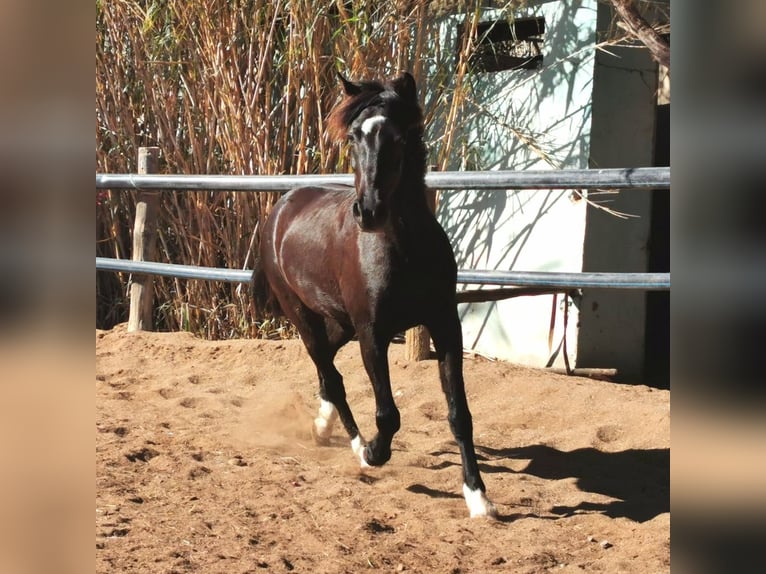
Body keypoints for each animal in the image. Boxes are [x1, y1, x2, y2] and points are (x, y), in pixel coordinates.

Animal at [252, 73, 498, 520]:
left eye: (399, 137)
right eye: (353, 137)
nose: (367, 212)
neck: (404, 250)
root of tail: (281, 207)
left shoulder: (445, 326)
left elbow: (459, 414)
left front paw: (478, 497)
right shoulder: (372, 334)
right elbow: (388, 415)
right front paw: (373, 452)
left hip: (339, 322)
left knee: (328, 371)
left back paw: (322, 426)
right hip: (303, 316)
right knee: (332, 376)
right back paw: (355, 446)